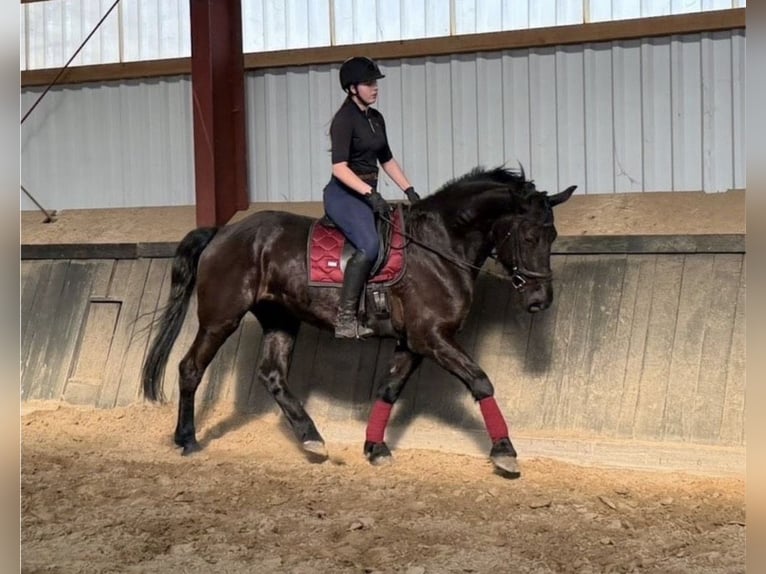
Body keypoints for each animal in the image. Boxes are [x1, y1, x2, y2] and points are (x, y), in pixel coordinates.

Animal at [142, 166, 576, 477]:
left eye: (552, 235)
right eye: (529, 236)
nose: (539, 300)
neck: (440, 245)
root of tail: (223, 231)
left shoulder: (412, 342)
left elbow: (389, 389)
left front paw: (375, 447)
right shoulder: (432, 337)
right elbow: (480, 381)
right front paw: (505, 453)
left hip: (281, 318)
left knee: (272, 375)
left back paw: (312, 440)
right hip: (221, 318)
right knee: (191, 367)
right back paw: (187, 439)